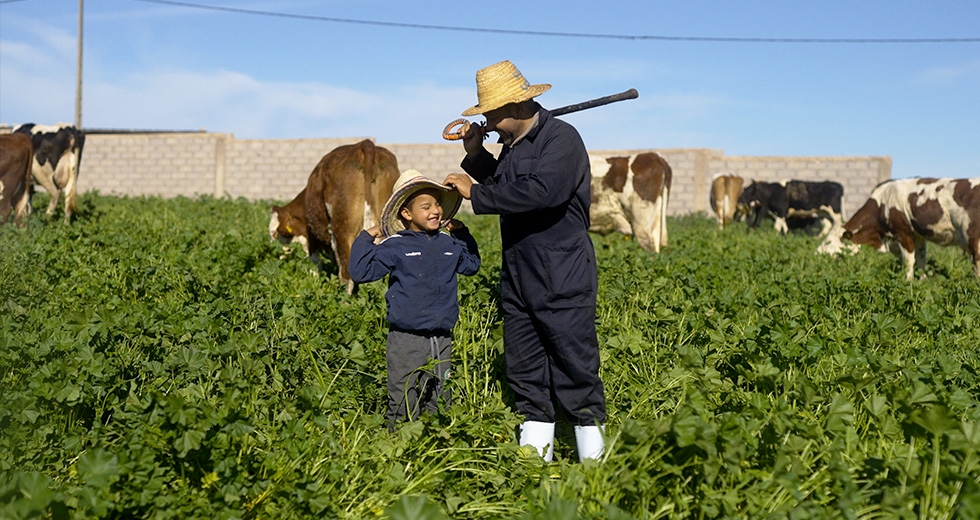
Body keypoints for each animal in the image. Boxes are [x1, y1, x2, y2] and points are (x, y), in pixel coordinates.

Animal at [268, 138, 398, 292]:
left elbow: (317, 263)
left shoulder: (312, 239)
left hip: (343, 230)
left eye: (274, 233)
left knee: (346, 274)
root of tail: (364, 144)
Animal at [816, 178, 980, 280]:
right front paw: (922, 280)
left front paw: (908, 281)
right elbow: (921, 260)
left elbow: (908, 261)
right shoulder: (918, 236)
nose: (816, 253)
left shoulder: (903, 233)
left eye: (828, 241)